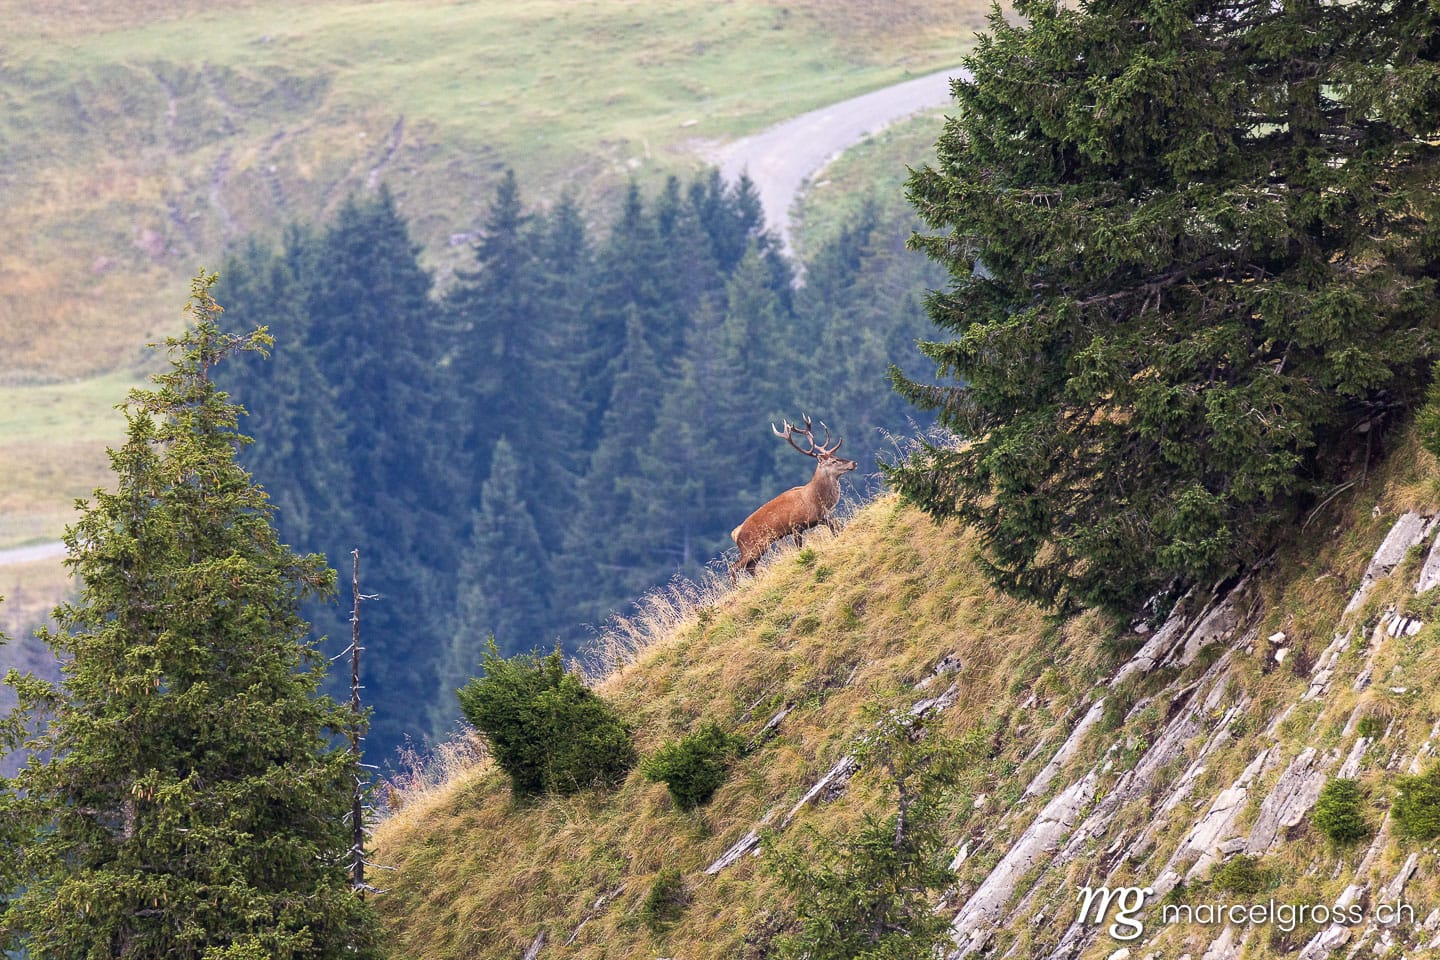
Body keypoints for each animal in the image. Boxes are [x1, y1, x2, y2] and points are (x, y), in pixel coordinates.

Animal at [730, 415, 858, 583]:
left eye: (836, 456)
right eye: (833, 461)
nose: (853, 462)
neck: (814, 499)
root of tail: (735, 533)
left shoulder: (820, 518)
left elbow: (835, 527)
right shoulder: (796, 525)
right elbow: (799, 550)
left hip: (759, 548)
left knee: (749, 567)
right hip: (751, 546)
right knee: (734, 567)